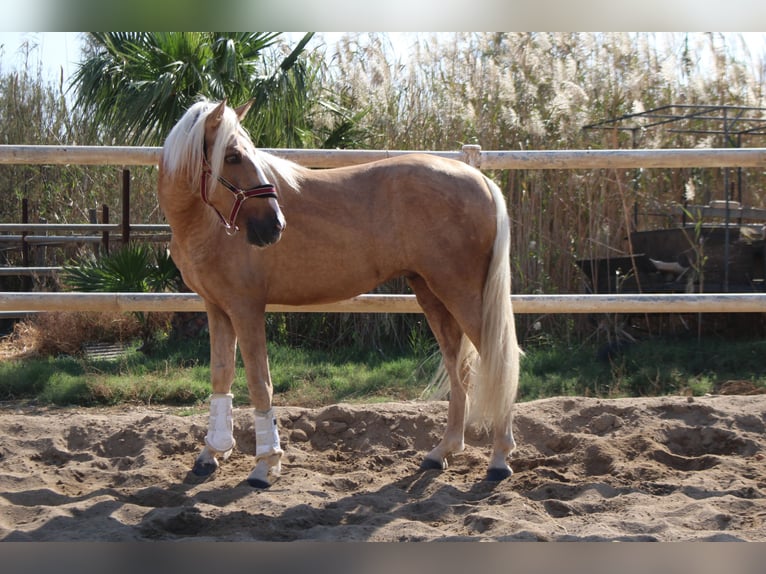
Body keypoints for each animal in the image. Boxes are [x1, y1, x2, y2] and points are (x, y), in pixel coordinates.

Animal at [159, 100, 524, 490]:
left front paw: (265, 465)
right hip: (432, 294)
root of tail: (482, 180)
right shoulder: (217, 307)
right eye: (232, 156)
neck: (205, 225)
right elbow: (221, 377)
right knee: (460, 370)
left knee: (498, 362)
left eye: (244, 154)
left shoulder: (247, 308)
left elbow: (260, 384)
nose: (274, 226)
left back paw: (499, 459)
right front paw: (211, 453)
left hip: (461, 294)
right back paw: (442, 452)